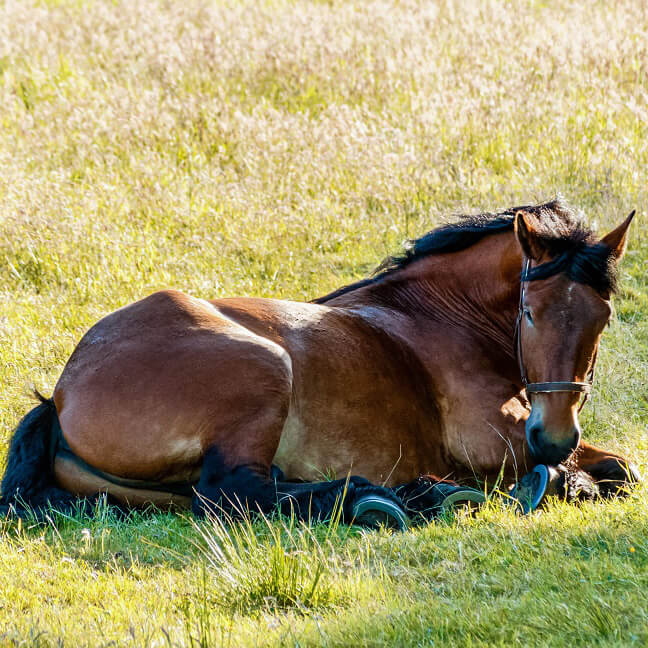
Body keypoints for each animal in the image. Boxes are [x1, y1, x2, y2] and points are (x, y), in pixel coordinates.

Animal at [0, 197, 636, 528]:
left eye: (602, 317)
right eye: (529, 311)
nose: (553, 435)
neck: (435, 315)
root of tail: (60, 397)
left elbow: (620, 467)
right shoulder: (499, 443)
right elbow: (605, 469)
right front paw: (560, 481)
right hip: (263, 370)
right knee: (233, 493)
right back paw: (392, 499)